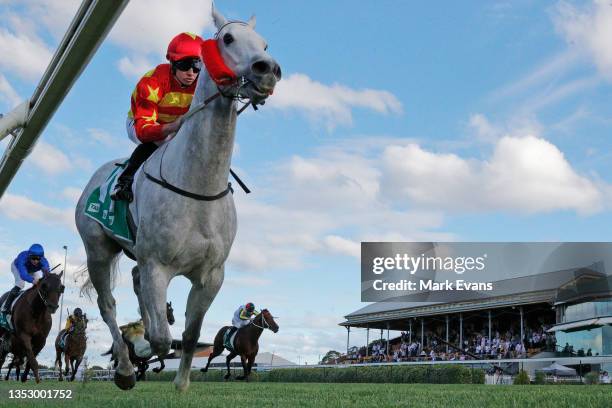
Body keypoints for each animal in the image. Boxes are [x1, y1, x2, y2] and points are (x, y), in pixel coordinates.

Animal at [75, 4, 280, 390]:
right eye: (227, 38)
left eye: (263, 43)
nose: (268, 69)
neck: (199, 188)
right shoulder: (157, 265)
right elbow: (158, 337)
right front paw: (139, 362)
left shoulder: (211, 275)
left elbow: (189, 334)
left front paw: (181, 383)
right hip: (98, 249)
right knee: (109, 306)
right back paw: (125, 370)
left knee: (135, 283)